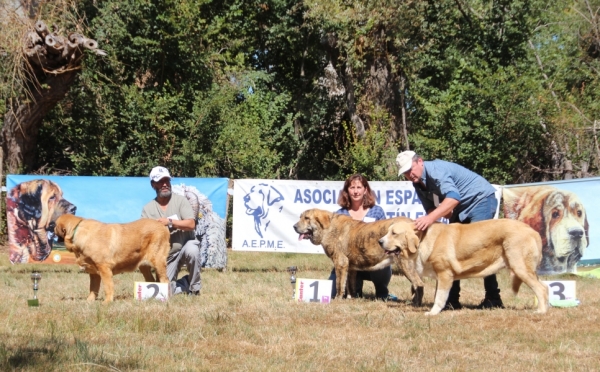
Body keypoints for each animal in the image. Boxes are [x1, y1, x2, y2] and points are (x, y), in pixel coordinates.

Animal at [292, 208, 424, 304]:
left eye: (307, 218)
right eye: (300, 217)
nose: (294, 226)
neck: (327, 228)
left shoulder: (340, 262)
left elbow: (339, 283)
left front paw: (338, 299)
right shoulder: (350, 267)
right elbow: (350, 285)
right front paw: (351, 298)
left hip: (405, 264)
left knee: (419, 284)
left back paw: (415, 304)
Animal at [380, 219, 548, 316]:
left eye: (394, 233)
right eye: (388, 232)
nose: (380, 241)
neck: (423, 239)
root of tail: (532, 231)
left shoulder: (445, 274)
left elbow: (439, 297)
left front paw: (433, 312)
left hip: (520, 267)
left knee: (540, 289)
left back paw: (541, 311)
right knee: (545, 287)